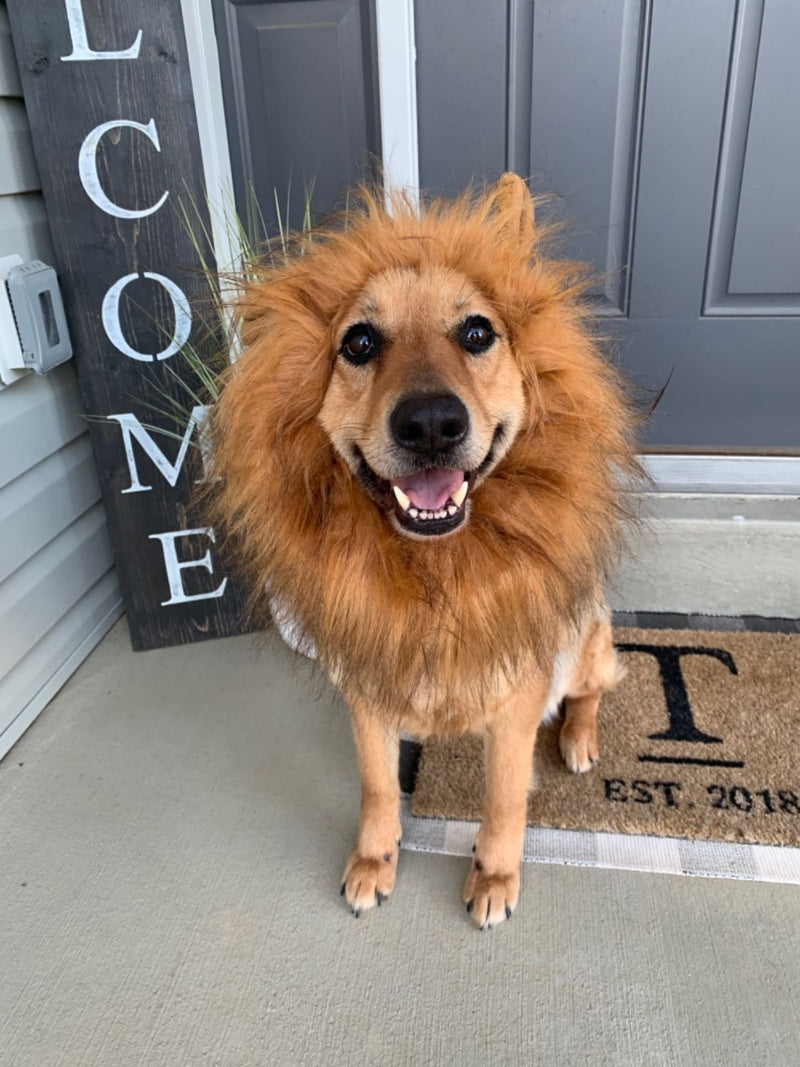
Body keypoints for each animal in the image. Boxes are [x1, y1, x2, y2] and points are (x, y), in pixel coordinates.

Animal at [210, 172, 644, 926]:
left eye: (477, 332)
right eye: (358, 342)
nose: (432, 424)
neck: (436, 574)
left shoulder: (516, 704)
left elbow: (503, 798)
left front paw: (494, 875)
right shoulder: (366, 697)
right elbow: (379, 787)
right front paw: (374, 859)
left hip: (584, 639)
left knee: (592, 688)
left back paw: (579, 738)